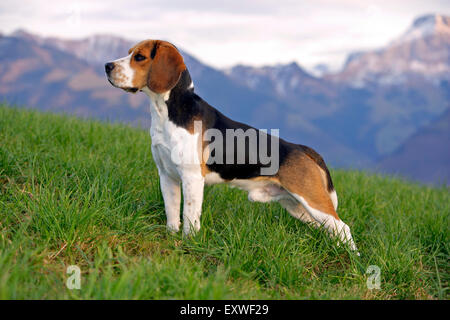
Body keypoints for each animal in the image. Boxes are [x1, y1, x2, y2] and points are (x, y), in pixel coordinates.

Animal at [104, 40, 358, 254]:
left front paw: (189, 243)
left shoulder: (192, 178)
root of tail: (302, 148)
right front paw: (171, 237)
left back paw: (352, 260)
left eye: (139, 57)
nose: (107, 66)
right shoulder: (167, 176)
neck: (165, 111)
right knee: (331, 230)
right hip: (296, 206)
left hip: (312, 199)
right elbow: (172, 212)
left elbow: (189, 214)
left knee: (343, 228)